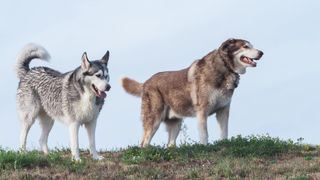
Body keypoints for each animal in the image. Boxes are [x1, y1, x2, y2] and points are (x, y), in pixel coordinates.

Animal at [121, 38, 264, 147]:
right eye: (246, 46)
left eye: (251, 46)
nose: (262, 52)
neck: (225, 67)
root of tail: (145, 82)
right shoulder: (202, 111)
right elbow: (204, 134)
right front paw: (204, 148)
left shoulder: (223, 110)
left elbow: (224, 132)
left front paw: (224, 144)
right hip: (154, 120)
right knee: (144, 142)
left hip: (176, 124)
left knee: (169, 144)